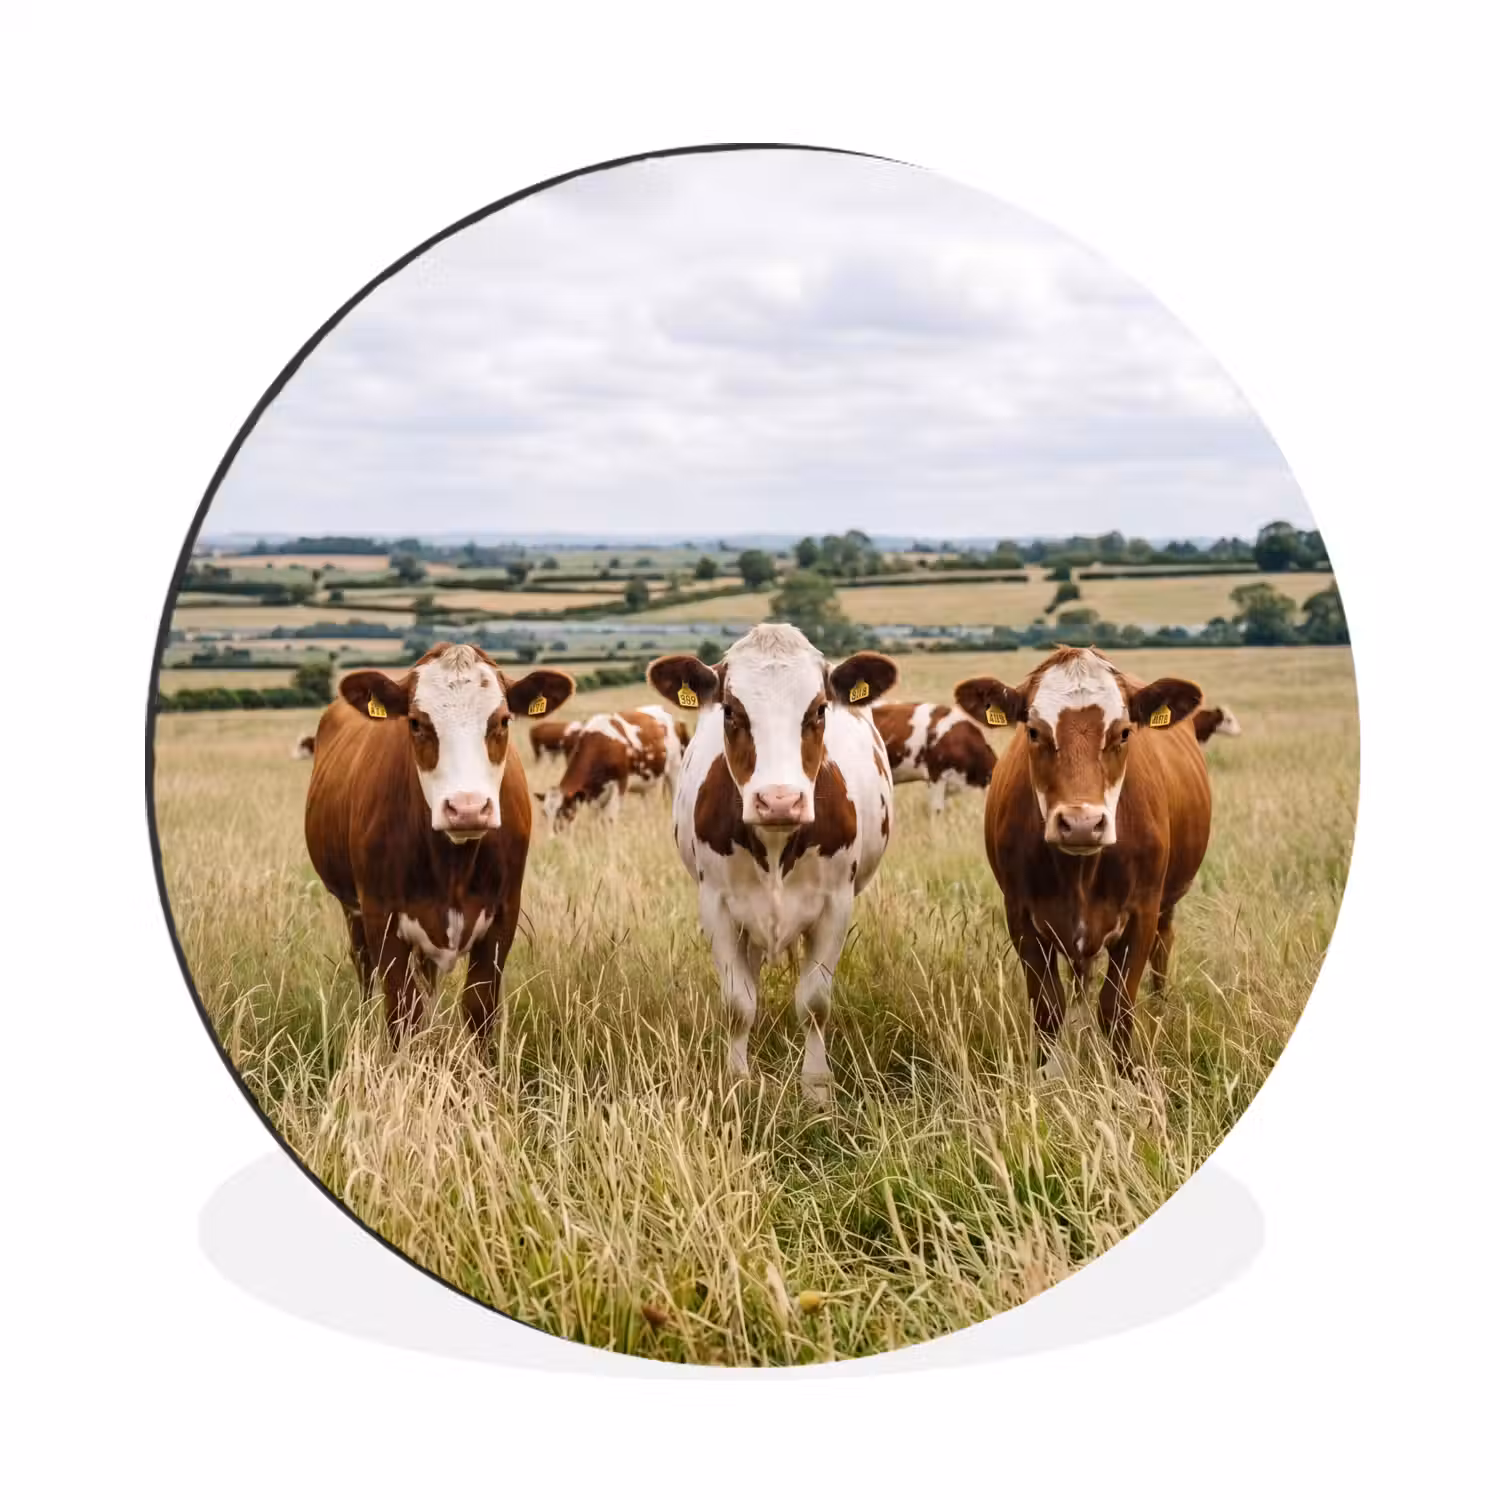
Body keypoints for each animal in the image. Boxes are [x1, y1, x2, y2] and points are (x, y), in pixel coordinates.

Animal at [304, 643, 574, 1043]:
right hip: (352, 909)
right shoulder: (380, 916)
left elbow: (479, 1009)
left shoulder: (503, 915)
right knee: (364, 967)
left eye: (503, 720)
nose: (467, 808)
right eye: (416, 723)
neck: (452, 865)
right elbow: (403, 1013)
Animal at [535, 706, 684, 830]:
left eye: (563, 811)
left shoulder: (620, 784)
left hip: (675, 770)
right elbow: (596, 819)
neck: (600, 745)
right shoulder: (592, 794)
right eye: (544, 813)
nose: (553, 838)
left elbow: (610, 819)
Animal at [648, 624, 898, 1102]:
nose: (779, 800)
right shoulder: (717, 905)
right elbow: (738, 1003)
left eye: (819, 710)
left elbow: (815, 1002)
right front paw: (738, 1081)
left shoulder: (835, 905)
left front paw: (816, 1088)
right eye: (731, 711)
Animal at [955, 646, 1210, 1077]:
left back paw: (1160, 1007)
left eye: (1123, 732)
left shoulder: (1142, 913)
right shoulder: (1021, 917)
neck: (1079, 872)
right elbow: (1048, 1008)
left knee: (1163, 946)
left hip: (1167, 904)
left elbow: (1117, 1006)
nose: (1081, 824)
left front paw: (1126, 1077)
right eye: (1033, 731)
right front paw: (1047, 1074)